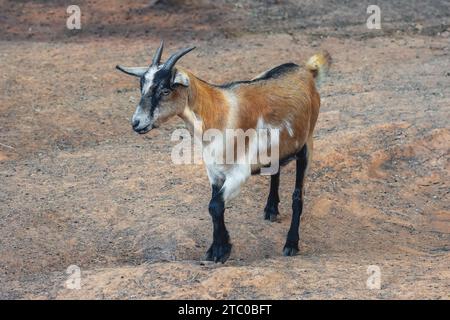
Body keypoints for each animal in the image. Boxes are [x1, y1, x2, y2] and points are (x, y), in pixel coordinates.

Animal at [117, 41, 330, 262]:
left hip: (307, 144)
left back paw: (291, 244)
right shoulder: (215, 172)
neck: (218, 112)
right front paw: (216, 248)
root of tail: (306, 70)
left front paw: (221, 250)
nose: (137, 123)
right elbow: (215, 208)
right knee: (275, 171)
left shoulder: (239, 173)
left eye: (165, 90)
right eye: (142, 88)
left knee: (297, 196)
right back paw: (271, 209)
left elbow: (215, 205)